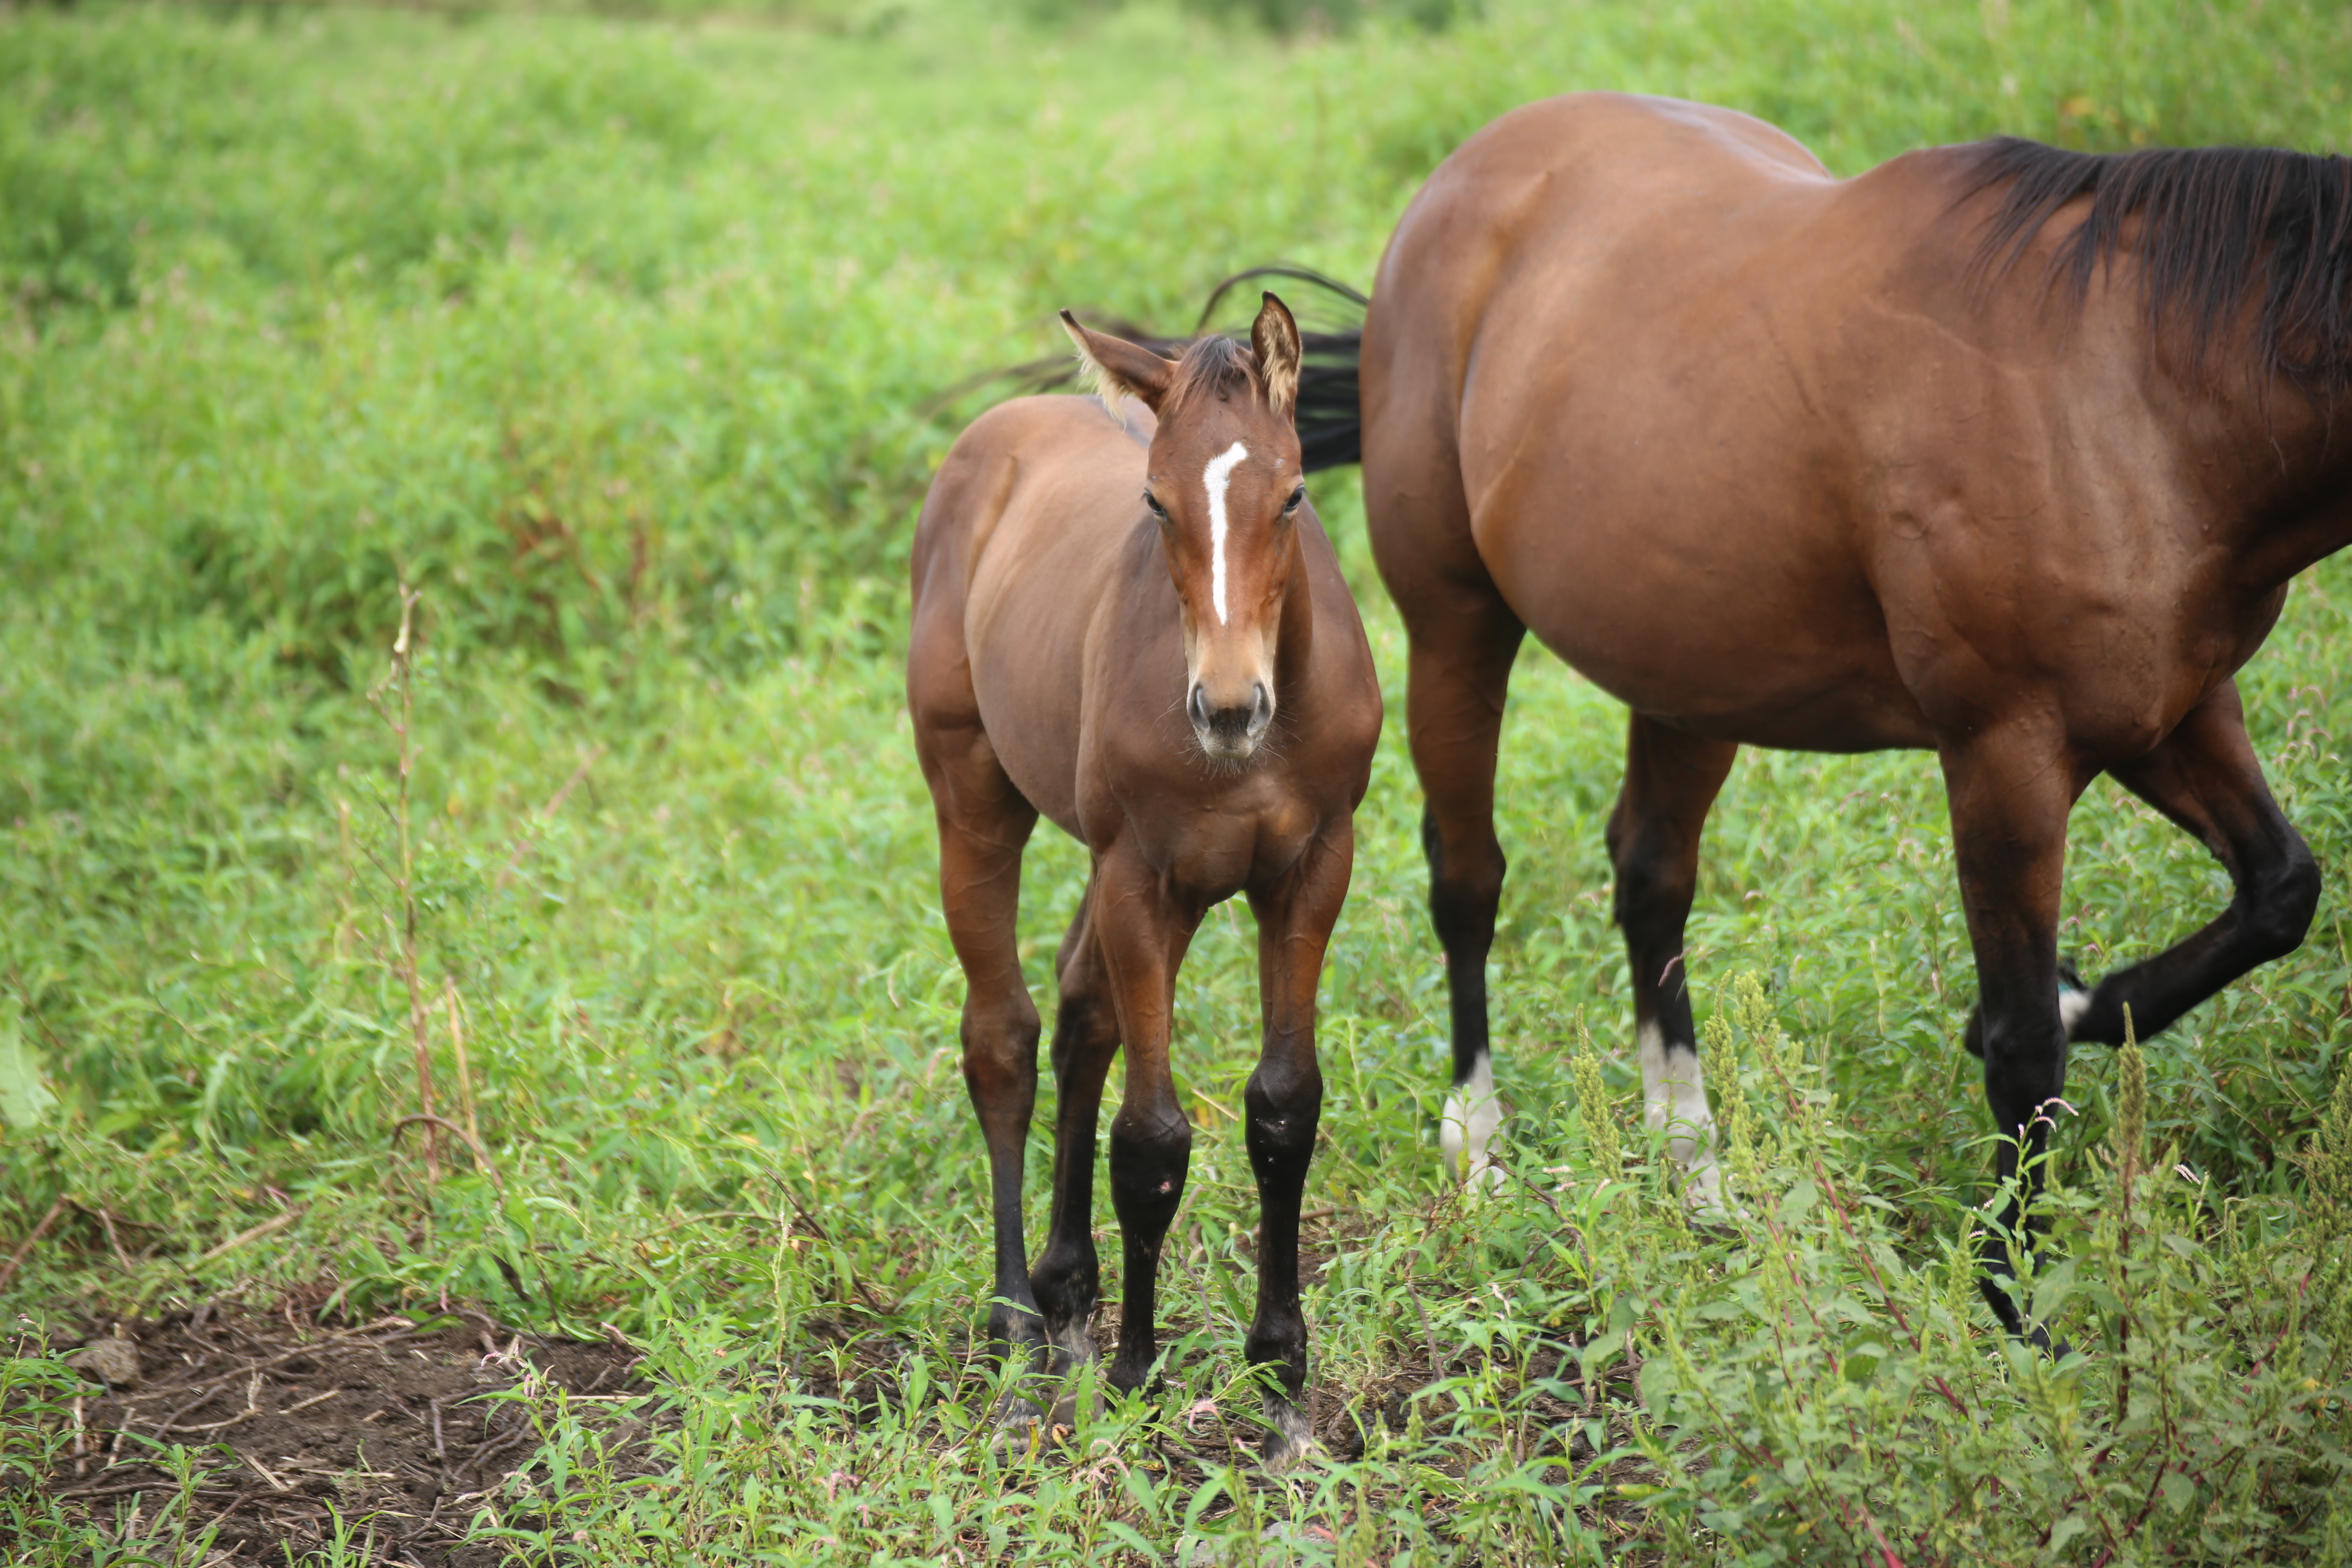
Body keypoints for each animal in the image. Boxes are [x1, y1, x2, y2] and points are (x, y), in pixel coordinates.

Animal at [898, 288, 1373, 1457]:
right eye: (1155, 502)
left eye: (1293, 493)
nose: (1229, 707)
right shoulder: (1139, 876)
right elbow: (1151, 1135)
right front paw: (1133, 1373)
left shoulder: (1310, 866)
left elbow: (1283, 1108)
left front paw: (1282, 1385)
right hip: (974, 799)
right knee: (1005, 1039)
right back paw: (1020, 1333)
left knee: (1081, 1015)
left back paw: (1068, 1292)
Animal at [1289, 89, 2352, 1335]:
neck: (2135, 395)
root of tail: (1468, 176)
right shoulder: (2005, 754)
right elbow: (2024, 1042)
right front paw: (2013, 1307)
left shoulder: (2175, 713)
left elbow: (2278, 891)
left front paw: (2089, 1003)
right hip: (1455, 626)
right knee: (1469, 878)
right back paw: (1479, 1148)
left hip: (1688, 674)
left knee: (1650, 881)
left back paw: (1695, 1175)